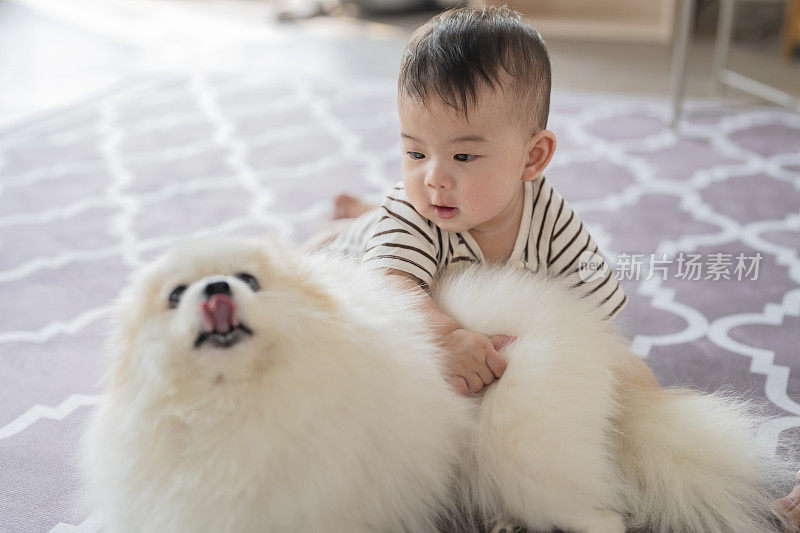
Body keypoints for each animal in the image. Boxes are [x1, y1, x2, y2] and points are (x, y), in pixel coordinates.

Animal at [81, 236, 788, 532]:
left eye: (249, 280)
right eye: (176, 296)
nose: (216, 289)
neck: (239, 408)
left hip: (528, 463)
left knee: (603, 520)